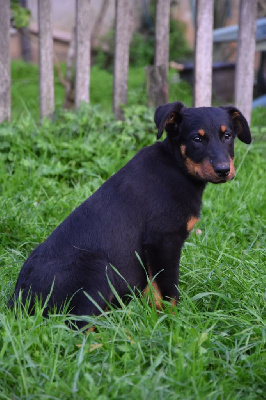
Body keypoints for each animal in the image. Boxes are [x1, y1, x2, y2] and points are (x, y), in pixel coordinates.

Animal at [9, 101, 251, 324]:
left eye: (227, 136)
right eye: (197, 139)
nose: (223, 170)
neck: (177, 166)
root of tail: (18, 301)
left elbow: (153, 289)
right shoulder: (164, 240)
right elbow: (168, 289)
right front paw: (173, 322)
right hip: (97, 270)